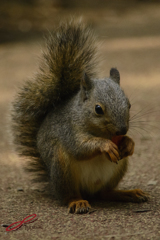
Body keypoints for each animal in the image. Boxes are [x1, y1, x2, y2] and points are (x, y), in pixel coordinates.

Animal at [11, 19, 149, 213]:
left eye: (129, 104)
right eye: (98, 109)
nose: (122, 130)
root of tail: (88, 191)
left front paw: (129, 143)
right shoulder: (69, 130)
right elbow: (80, 147)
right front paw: (105, 145)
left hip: (118, 168)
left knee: (105, 193)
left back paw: (129, 193)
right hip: (62, 168)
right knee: (69, 195)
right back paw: (77, 202)